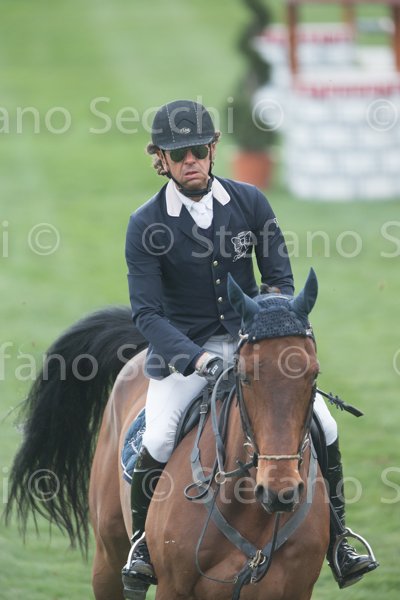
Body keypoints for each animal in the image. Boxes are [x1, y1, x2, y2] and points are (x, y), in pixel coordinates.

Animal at [5, 269, 329, 600]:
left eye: (313, 374)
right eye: (244, 375)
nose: (279, 492)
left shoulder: (296, 591)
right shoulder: (173, 588)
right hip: (107, 559)